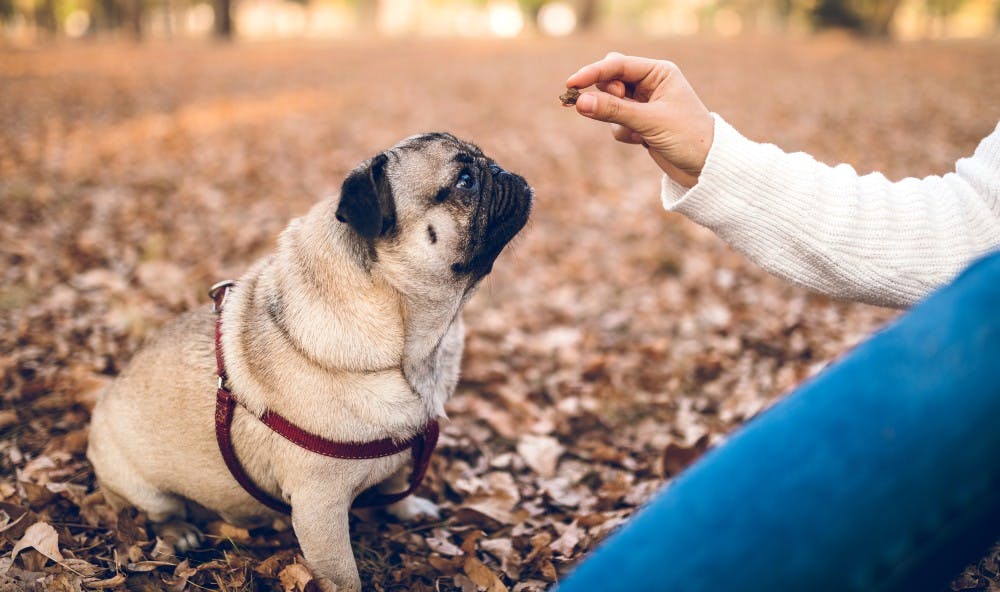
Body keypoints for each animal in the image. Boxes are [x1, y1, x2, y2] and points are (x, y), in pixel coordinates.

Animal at [88, 132, 532, 588]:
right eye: (465, 181)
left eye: (483, 162)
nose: (501, 170)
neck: (415, 347)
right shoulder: (320, 508)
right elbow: (344, 576)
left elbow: (397, 482)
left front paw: (407, 510)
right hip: (140, 486)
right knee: (155, 512)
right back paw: (178, 532)